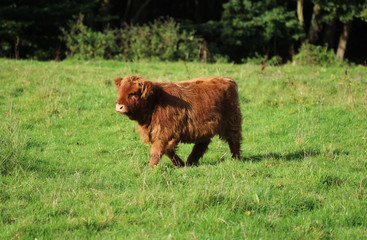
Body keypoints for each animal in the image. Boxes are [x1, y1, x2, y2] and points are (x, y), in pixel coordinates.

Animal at [114, 75, 242, 167]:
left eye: (134, 93)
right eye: (120, 92)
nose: (119, 106)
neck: (154, 102)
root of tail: (227, 79)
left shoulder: (164, 132)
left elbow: (156, 151)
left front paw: (150, 168)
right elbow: (168, 151)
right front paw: (179, 164)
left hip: (232, 122)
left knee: (234, 141)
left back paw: (236, 159)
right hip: (205, 127)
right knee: (202, 144)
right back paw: (190, 161)